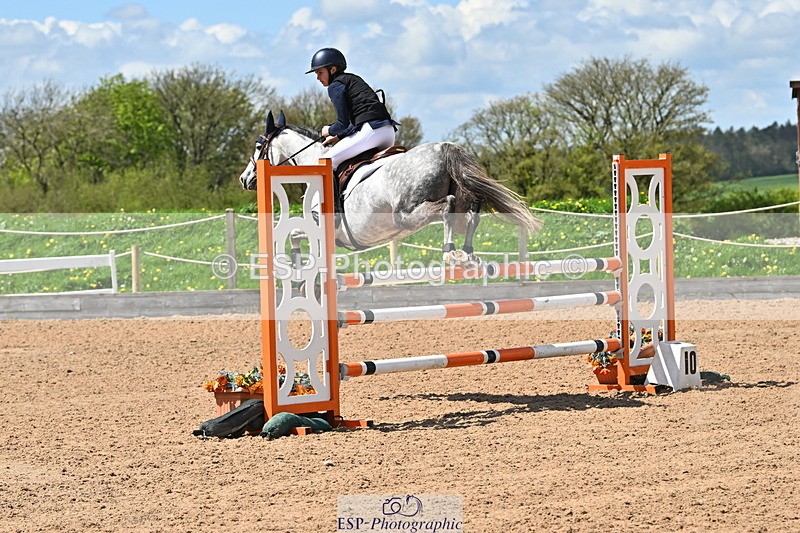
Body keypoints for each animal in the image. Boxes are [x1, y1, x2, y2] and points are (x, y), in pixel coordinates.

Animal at [239, 111, 540, 262]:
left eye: (257, 145)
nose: (245, 179)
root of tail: (446, 148)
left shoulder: (321, 225)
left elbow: (294, 235)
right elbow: (295, 236)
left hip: (407, 214)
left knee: (447, 207)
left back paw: (450, 252)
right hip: (458, 202)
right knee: (472, 213)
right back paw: (467, 253)